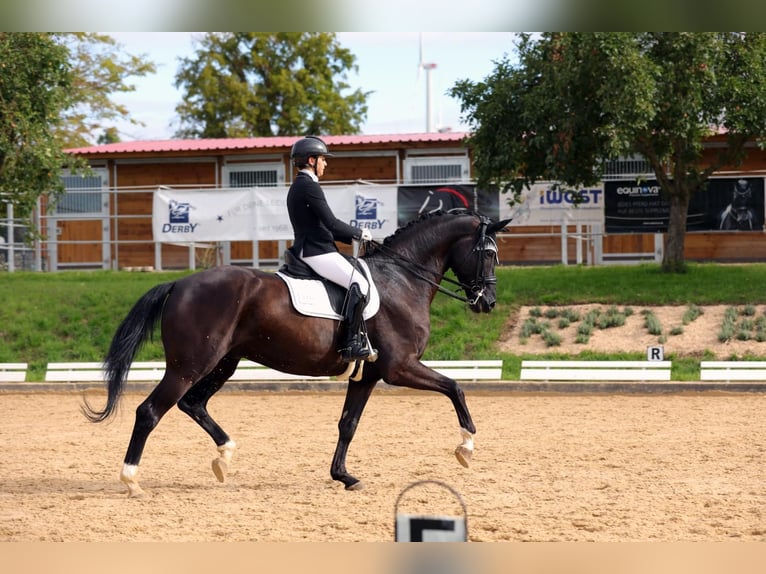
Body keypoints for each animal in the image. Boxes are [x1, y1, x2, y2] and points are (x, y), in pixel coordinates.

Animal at [84, 209, 512, 498]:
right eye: (489, 253)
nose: (487, 303)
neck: (401, 279)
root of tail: (180, 284)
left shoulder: (370, 374)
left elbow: (348, 424)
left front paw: (343, 476)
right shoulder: (399, 368)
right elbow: (455, 387)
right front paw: (466, 448)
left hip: (223, 363)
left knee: (193, 404)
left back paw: (224, 457)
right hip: (189, 365)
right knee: (151, 411)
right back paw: (132, 480)